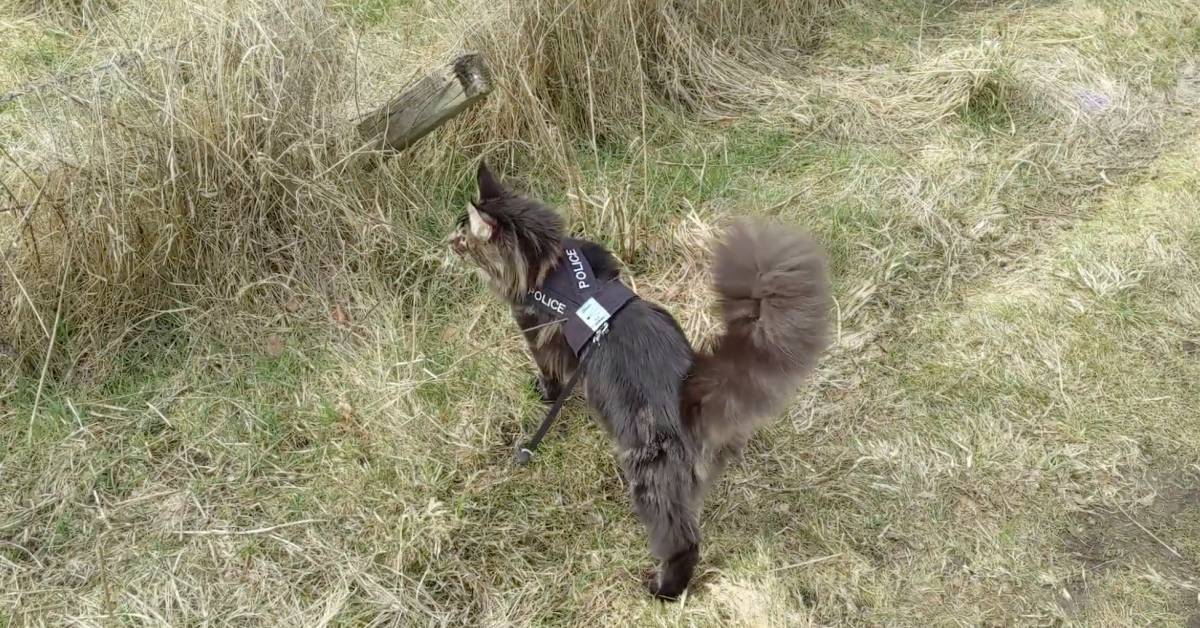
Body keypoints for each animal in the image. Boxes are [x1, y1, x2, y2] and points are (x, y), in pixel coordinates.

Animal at [446, 160, 830, 600]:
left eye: (462, 236)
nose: (446, 241)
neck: (550, 264)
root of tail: (696, 393)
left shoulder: (537, 338)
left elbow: (549, 377)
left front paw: (543, 394)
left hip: (651, 477)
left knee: (682, 541)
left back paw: (663, 590)